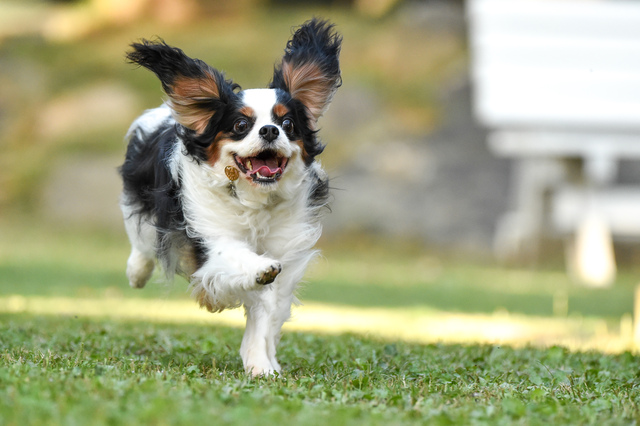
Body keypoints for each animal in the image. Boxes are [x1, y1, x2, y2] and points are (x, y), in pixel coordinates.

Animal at [118, 19, 342, 376]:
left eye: (287, 123)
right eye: (240, 125)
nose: (270, 131)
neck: (255, 199)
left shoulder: (285, 247)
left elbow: (267, 308)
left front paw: (261, 363)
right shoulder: (208, 235)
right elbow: (236, 258)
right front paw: (257, 270)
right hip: (139, 200)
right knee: (141, 242)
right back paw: (137, 273)